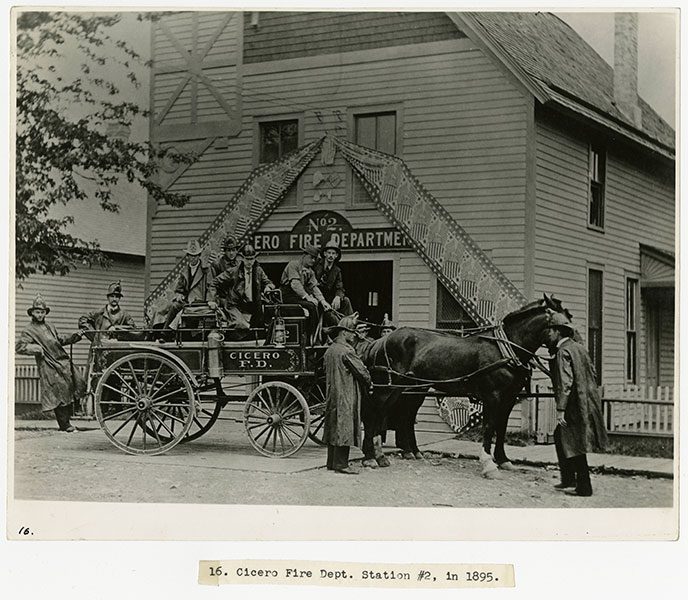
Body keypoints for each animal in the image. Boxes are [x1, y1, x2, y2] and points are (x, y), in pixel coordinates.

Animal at [358, 292, 572, 476]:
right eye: (564, 326)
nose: (569, 349)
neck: (505, 348)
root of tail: (381, 340)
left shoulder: (509, 398)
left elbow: (501, 427)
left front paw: (503, 460)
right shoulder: (492, 396)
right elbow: (489, 426)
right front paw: (488, 464)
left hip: (411, 388)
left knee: (401, 415)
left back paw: (402, 453)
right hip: (388, 386)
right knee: (374, 414)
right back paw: (371, 457)